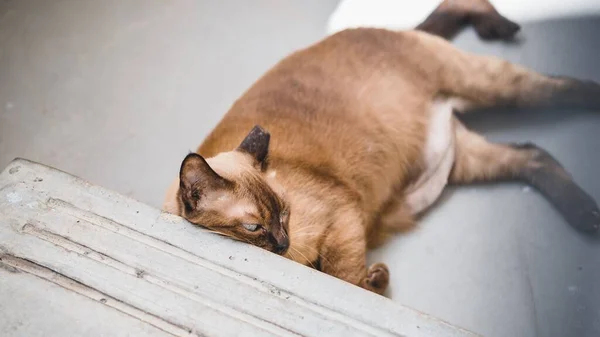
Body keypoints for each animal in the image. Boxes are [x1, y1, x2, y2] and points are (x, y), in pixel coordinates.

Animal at [162, 0, 596, 294]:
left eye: (285, 214)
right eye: (254, 227)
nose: (283, 243)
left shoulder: (342, 218)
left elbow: (343, 277)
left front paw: (373, 278)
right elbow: (354, 280)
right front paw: (377, 278)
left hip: (496, 87)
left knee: (568, 87)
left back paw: (504, 28)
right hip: (462, 164)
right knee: (532, 153)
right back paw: (587, 214)